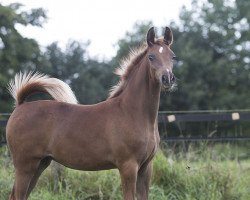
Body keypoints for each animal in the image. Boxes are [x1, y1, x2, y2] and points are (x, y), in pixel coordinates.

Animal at [6, 26, 177, 200]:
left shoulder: (146, 168)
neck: (132, 112)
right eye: (151, 56)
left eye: (173, 56)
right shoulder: (128, 166)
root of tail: (20, 105)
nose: (168, 79)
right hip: (25, 165)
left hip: (40, 164)